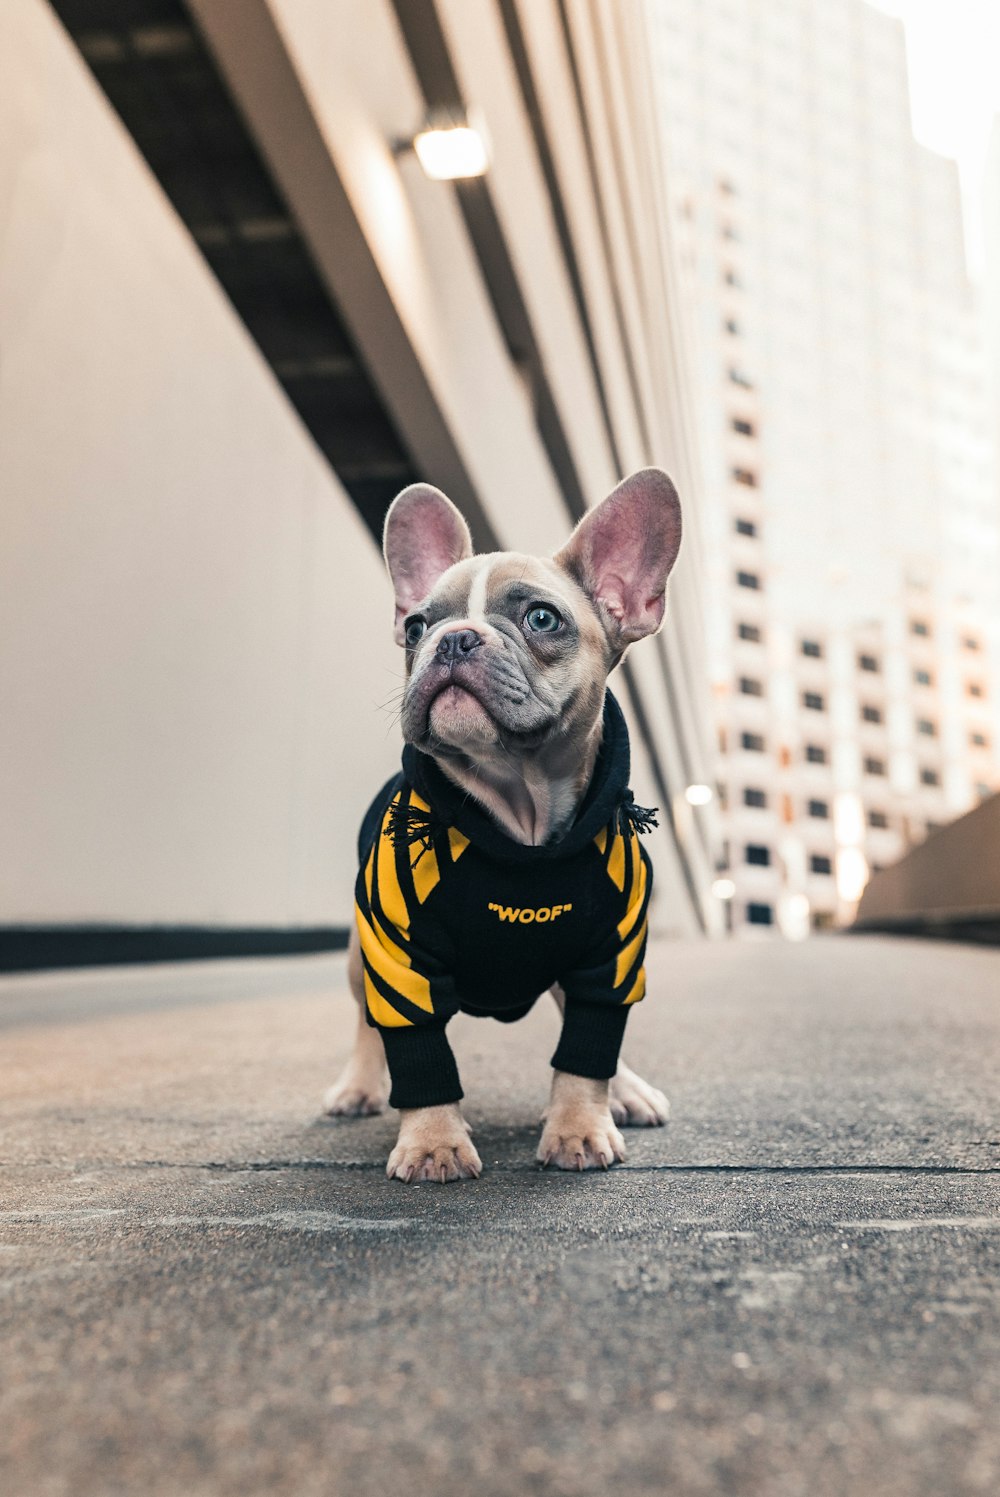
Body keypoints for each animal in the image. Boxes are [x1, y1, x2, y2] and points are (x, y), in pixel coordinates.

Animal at [324, 467, 682, 1179]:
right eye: (416, 626)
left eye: (541, 618)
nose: (454, 638)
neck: (522, 815)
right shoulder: (398, 956)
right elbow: (419, 1053)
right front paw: (432, 1143)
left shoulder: (608, 957)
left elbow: (588, 1050)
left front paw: (580, 1128)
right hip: (357, 958)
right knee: (365, 1023)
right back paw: (358, 1086)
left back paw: (626, 1091)